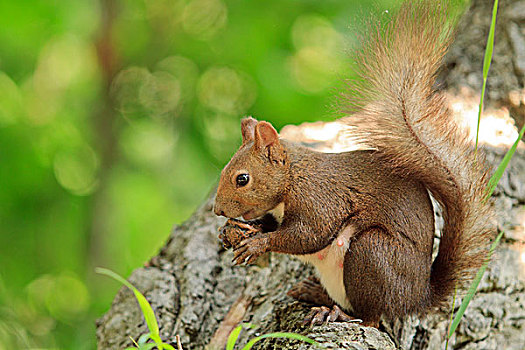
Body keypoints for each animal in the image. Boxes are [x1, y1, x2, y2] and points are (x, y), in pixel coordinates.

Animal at [212, 0, 492, 328]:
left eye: (242, 179)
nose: (218, 211)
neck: (293, 177)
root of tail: (416, 298)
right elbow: (273, 225)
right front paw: (237, 231)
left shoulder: (320, 199)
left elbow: (307, 235)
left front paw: (257, 244)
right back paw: (313, 293)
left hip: (372, 254)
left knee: (371, 317)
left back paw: (338, 313)